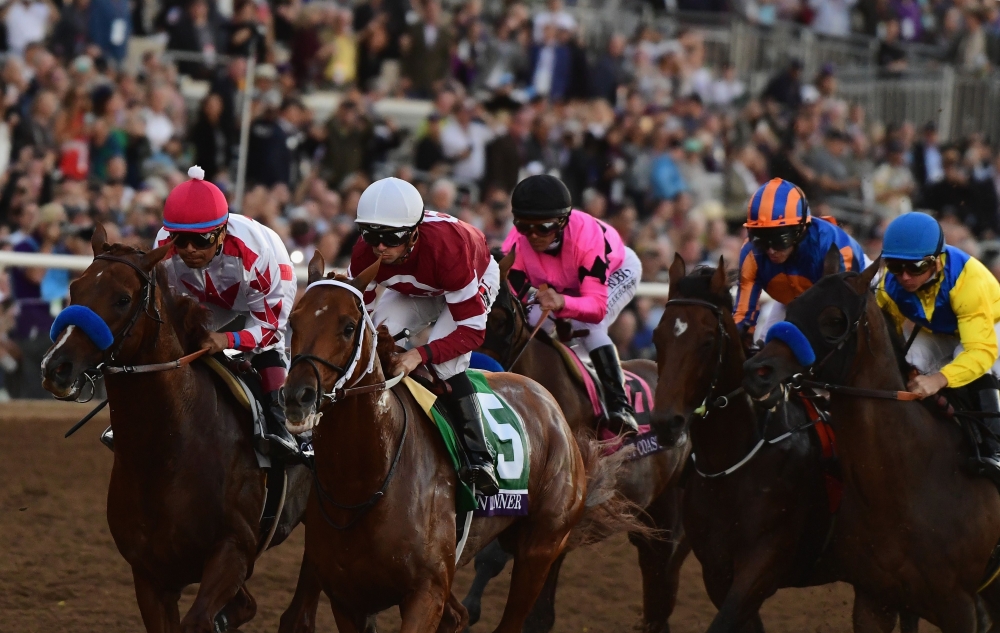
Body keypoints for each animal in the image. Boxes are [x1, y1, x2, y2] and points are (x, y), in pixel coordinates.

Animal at [39, 225, 310, 628]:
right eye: (75, 289)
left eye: (122, 299)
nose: (56, 367)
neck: (166, 453)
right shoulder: (150, 575)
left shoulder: (232, 551)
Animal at [278, 252, 628, 632]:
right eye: (293, 321)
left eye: (347, 327)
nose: (298, 396)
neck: (364, 482)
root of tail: (550, 406)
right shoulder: (347, 600)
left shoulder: (427, 591)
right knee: (458, 616)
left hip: (541, 545)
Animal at [740, 254, 1000, 628]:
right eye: (795, 306)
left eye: (834, 320)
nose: (757, 371)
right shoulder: (874, 598)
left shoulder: (961, 606)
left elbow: (980, 351)